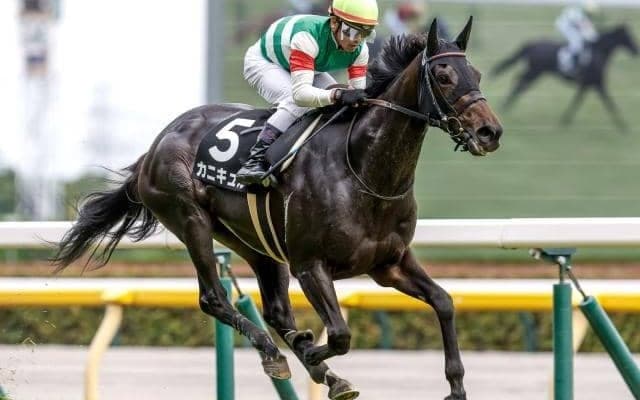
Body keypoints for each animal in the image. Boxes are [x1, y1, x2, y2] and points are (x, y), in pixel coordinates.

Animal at [51, 18, 502, 400]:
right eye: (443, 76)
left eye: (477, 75)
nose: (490, 132)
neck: (363, 169)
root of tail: (154, 148)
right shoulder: (310, 264)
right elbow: (339, 334)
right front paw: (313, 353)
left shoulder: (389, 263)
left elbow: (444, 301)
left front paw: (456, 387)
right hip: (190, 218)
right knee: (214, 298)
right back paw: (279, 354)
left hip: (255, 242)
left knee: (275, 309)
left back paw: (318, 368)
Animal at [492, 24, 638, 130]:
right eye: (629, 36)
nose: (636, 50)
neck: (598, 52)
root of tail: (531, 44)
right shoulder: (597, 84)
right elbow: (610, 104)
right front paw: (623, 126)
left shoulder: (588, 85)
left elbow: (577, 102)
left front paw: (565, 120)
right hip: (535, 72)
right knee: (520, 84)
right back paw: (504, 106)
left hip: (534, 72)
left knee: (519, 82)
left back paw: (505, 105)